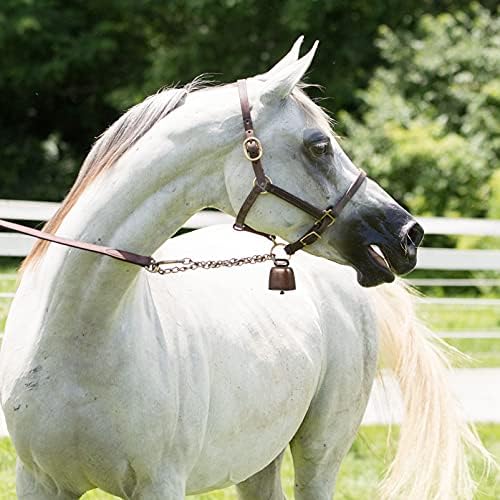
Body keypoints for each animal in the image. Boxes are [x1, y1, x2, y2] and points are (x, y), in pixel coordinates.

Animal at [0, 40, 492, 500]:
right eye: (319, 145)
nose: (407, 234)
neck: (78, 336)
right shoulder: (38, 482)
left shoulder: (160, 483)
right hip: (258, 459)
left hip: (320, 452)